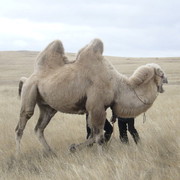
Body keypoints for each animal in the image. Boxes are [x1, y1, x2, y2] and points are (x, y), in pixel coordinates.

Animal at [15, 38, 167, 154]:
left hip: (47, 106)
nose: (166, 80)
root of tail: (27, 79)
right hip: (30, 91)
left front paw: (74, 147)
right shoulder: (96, 106)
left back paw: (51, 152)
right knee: (21, 125)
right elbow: (98, 136)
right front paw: (101, 156)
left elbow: (96, 134)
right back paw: (18, 155)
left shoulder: (95, 108)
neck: (116, 86)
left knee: (39, 128)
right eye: (161, 73)